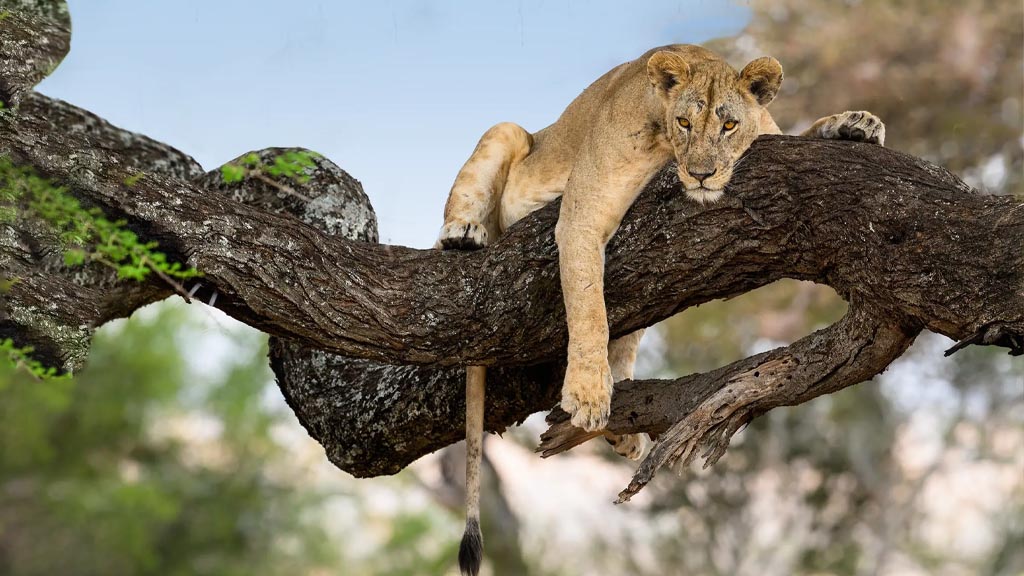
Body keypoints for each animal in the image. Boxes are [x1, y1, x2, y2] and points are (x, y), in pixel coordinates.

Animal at [436, 44, 885, 576]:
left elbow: (802, 131)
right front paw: (587, 394)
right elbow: (588, 307)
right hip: (507, 134)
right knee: (469, 195)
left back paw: (625, 424)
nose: (702, 174)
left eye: (729, 125)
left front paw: (855, 123)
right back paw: (463, 234)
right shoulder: (580, 217)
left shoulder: (770, 135)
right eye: (685, 122)